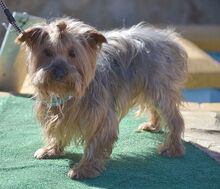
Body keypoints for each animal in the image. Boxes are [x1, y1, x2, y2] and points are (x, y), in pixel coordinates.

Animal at [15, 17, 187, 179]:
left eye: (73, 53)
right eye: (47, 52)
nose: (59, 73)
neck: (68, 93)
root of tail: (168, 38)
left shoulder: (101, 117)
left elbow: (95, 143)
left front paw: (84, 169)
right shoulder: (56, 111)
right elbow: (57, 129)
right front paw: (51, 150)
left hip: (159, 86)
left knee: (174, 117)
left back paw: (172, 148)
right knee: (155, 108)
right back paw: (152, 125)